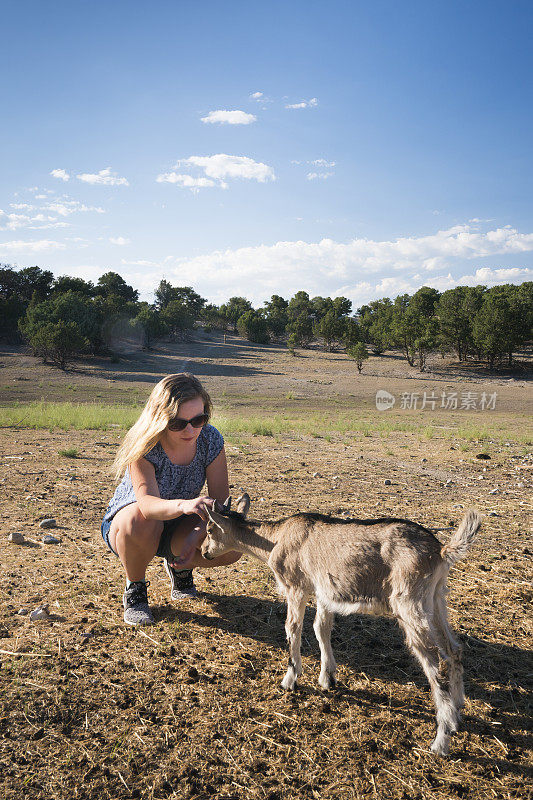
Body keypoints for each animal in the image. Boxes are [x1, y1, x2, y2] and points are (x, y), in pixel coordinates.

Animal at [202, 494, 480, 756]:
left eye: (209, 529)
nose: (204, 552)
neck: (276, 539)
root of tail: (440, 551)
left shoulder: (296, 586)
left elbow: (293, 628)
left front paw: (290, 679)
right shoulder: (324, 591)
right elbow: (321, 628)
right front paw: (328, 678)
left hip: (409, 601)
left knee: (434, 661)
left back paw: (441, 740)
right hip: (436, 598)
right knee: (454, 649)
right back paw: (457, 712)